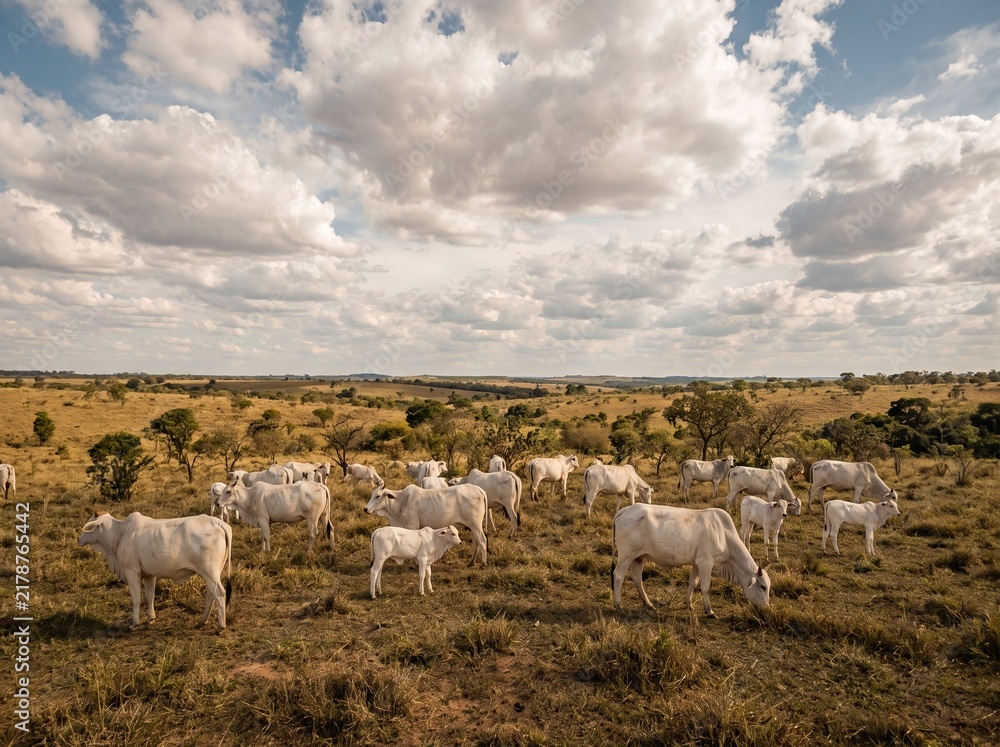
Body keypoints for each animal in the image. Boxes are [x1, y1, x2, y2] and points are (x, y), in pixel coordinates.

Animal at [78, 512, 232, 632]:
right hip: (211, 574)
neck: (120, 533)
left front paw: (134, 623)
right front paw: (150, 618)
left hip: (210, 573)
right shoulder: (149, 574)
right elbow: (149, 596)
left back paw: (220, 626)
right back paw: (202, 620)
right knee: (211, 595)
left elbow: (136, 599)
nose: (79, 539)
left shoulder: (132, 571)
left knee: (219, 593)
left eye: (89, 525)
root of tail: (217, 522)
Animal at [611, 503, 770, 617]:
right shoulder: (706, 563)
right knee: (618, 575)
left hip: (637, 558)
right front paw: (709, 611)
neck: (724, 535)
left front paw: (689, 604)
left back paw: (648, 604)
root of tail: (626, 509)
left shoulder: (696, 564)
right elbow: (705, 587)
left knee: (637, 579)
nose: (766, 608)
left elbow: (693, 583)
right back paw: (618, 604)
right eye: (763, 587)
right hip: (626, 555)